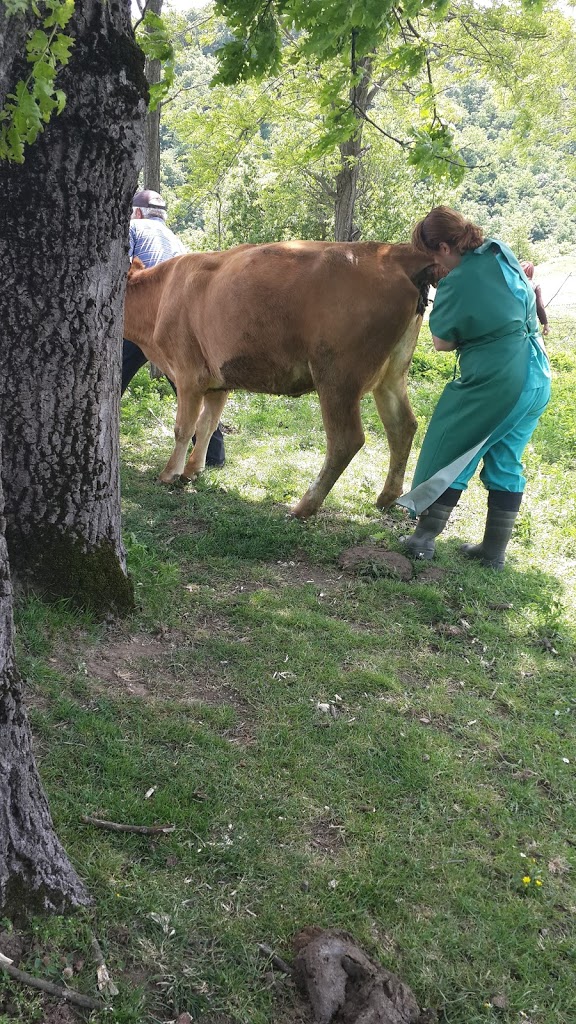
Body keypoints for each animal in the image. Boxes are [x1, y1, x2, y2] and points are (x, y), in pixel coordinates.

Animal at [121, 241, 434, 520]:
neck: (160, 296)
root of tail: (394, 252)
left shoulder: (188, 374)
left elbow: (184, 428)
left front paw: (169, 473)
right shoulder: (217, 382)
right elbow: (207, 426)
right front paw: (192, 470)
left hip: (337, 376)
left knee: (346, 440)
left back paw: (304, 507)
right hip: (392, 374)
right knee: (403, 426)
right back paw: (386, 497)